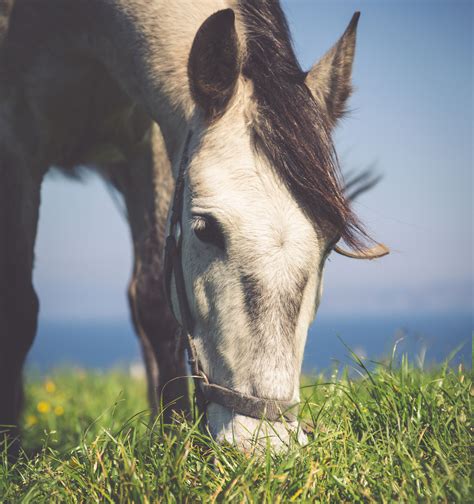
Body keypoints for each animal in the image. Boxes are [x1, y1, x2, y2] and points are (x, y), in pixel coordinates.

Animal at [0, 0, 386, 450]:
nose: (263, 442)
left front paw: (171, 435)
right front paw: (10, 452)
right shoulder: (14, 141)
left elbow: (154, 302)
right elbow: (18, 309)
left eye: (330, 243)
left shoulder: (148, 141)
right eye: (205, 229)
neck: (82, 26)